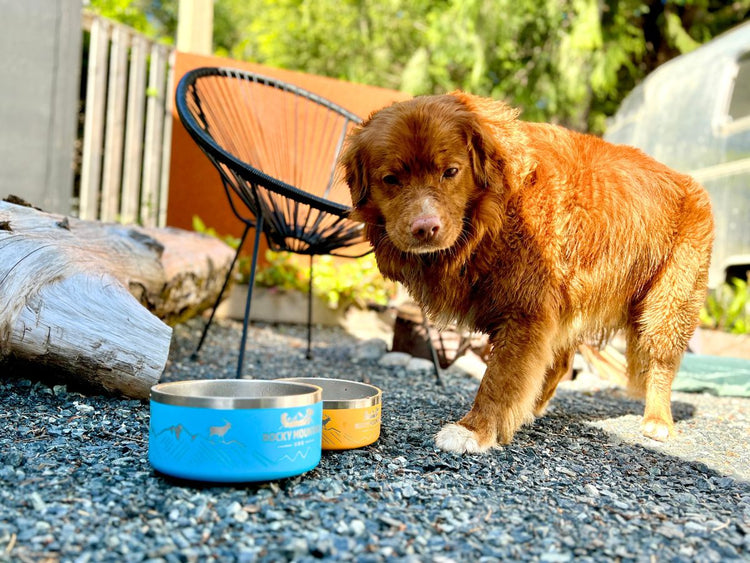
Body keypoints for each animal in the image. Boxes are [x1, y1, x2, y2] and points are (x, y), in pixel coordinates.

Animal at [342, 92, 716, 454]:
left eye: (450, 171)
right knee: (560, 363)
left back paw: (657, 421)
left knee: (661, 364)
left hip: (666, 309)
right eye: (390, 179)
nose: (425, 228)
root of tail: (688, 180)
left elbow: (499, 377)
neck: (495, 212)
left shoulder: (525, 312)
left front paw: (474, 430)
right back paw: (531, 409)